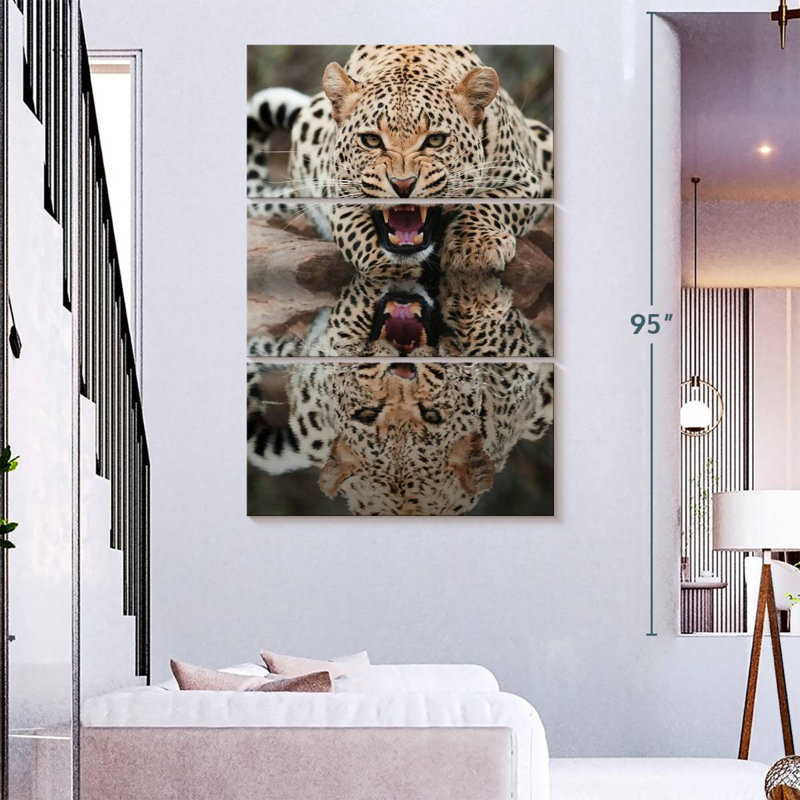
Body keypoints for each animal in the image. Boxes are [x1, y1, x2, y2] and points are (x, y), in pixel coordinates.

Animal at [247, 45, 553, 278]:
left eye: (435, 140)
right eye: (371, 141)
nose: (403, 185)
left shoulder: (524, 179)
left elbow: (490, 203)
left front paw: (474, 248)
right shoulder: (340, 196)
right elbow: (359, 234)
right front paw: (390, 271)